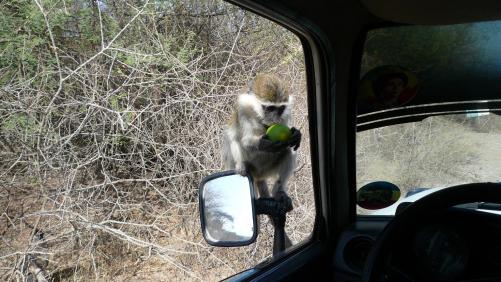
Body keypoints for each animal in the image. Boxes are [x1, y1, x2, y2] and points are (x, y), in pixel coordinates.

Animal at [222, 74, 300, 204]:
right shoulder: (243, 110)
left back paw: (278, 191)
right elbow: (245, 141)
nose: (275, 119)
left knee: (288, 150)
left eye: (280, 109)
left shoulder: (286, 114)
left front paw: (296, 134)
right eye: (270, 108)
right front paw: (266, 144)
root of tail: (259, 175)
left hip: (267, 170)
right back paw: (241, 166)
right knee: (233, 137)